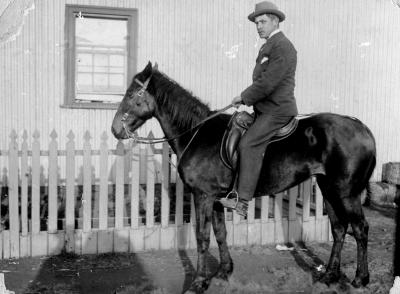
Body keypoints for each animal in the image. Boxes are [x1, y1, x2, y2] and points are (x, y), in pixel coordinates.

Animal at [111, 62, 376, 294]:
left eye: (132, 94)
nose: (115, 129)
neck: (197, 133)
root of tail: (362, 128)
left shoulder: (203, 196)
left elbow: (202, 237)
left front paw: (199, 282)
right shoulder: (216, 199)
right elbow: (220, 233)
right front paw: (224, 271)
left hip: (346, 193)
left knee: (360, 229)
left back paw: (361, 279)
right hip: (328, 189)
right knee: (339, 229)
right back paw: (329, 275)